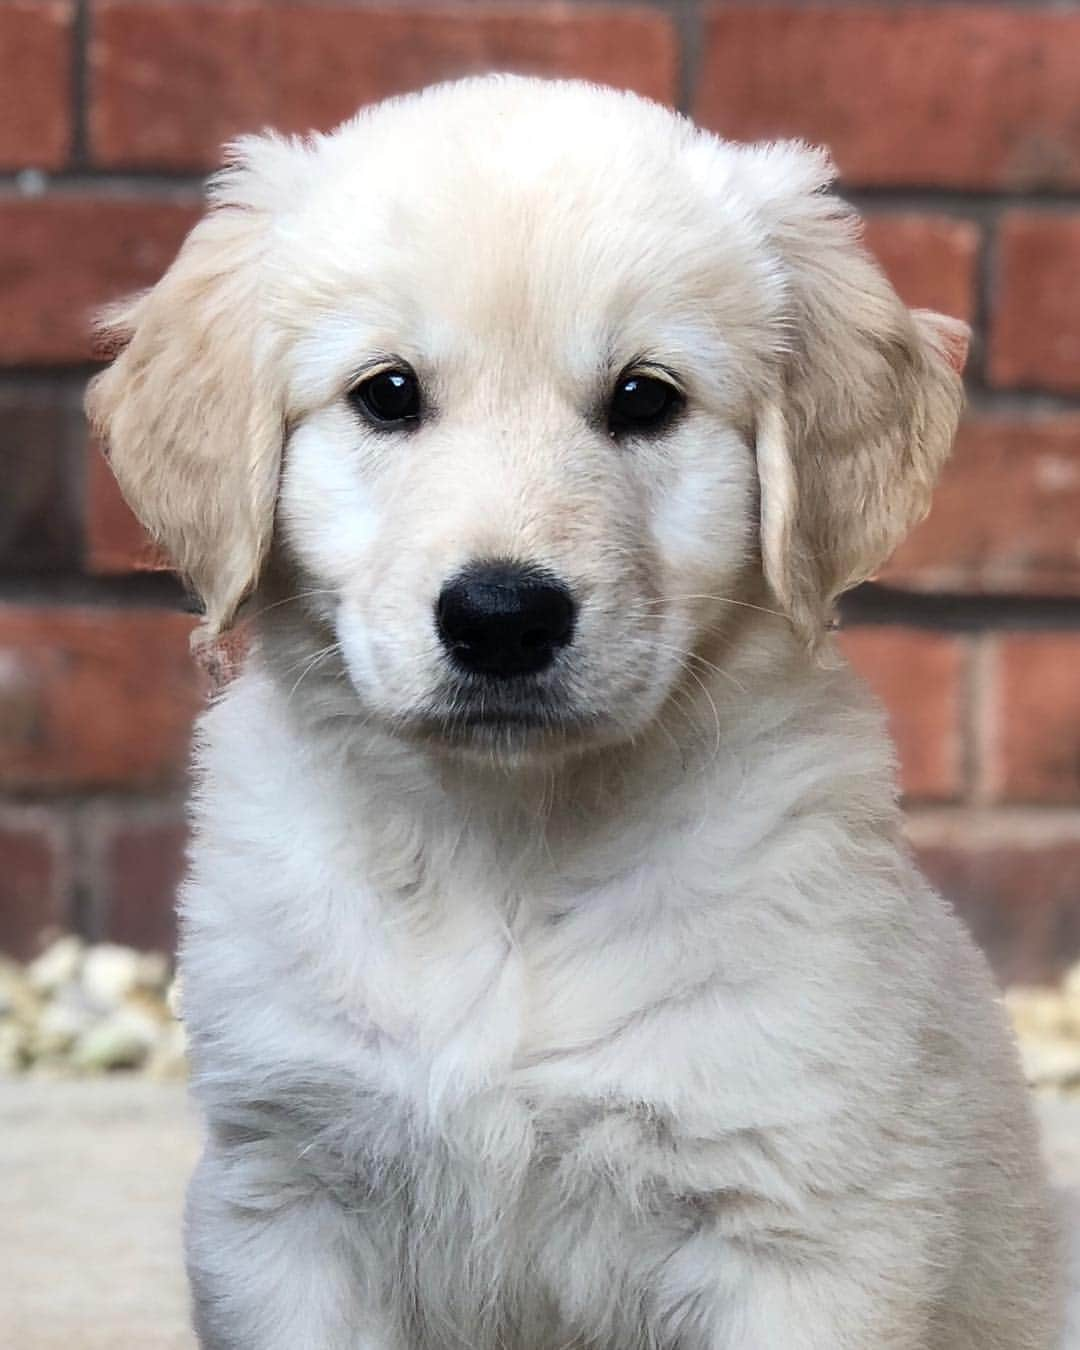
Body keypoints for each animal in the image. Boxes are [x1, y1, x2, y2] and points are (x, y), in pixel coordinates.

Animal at [86, 78, 1063, 1350]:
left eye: (645, 397)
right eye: (387, 394)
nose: (502, 617)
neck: (509, 855)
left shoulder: (796, 1222)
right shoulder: (285, 1194)